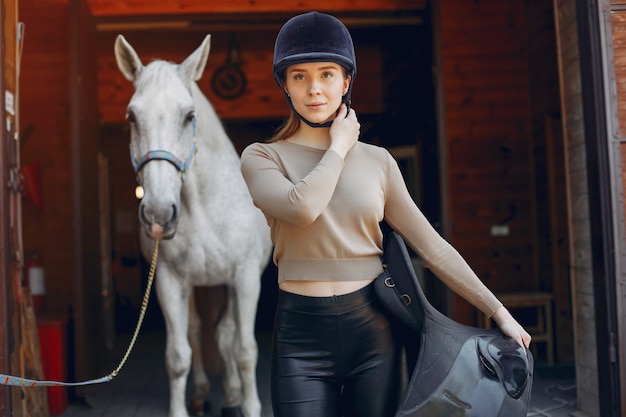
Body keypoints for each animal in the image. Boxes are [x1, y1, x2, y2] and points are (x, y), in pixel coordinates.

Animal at [114, 35, 270, 416]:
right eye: (132, 116)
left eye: (189, 116)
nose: (158, 214)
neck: (202, 206)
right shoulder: (169, 282)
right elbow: (178, 355)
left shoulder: (245, 278)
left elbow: (245, 350)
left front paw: (249, 403)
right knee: (199, 332)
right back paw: (202, 392)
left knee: (226, 334)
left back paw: (231, 393)